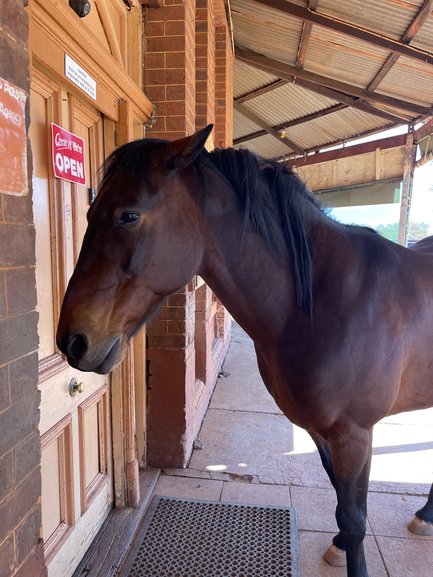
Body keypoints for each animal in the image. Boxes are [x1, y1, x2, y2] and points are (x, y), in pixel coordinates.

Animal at [56, 126, 432, 576]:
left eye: (128, 215)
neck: (321, 301)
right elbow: (343, 506)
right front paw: (340, 543)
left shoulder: (354, 434)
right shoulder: (322, 431)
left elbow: (356, 518)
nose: (71, 341)